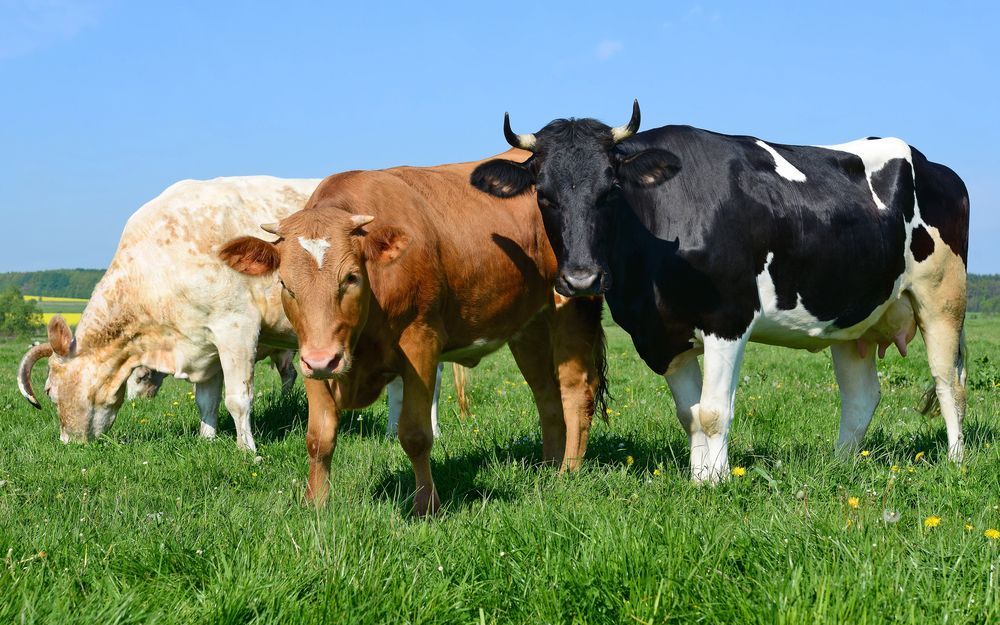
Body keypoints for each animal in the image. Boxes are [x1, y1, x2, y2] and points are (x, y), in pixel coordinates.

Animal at [219, 150, 607, 516]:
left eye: (351, 277)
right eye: (285, 284)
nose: (323, 360)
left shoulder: (420, 342)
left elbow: (416, 434)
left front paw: (426, 505)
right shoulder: (311, 353)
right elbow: (319, 436)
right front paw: (315, 504)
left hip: (572, 304)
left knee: (576, 391)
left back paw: (567, 473)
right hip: (529, 326)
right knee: (546, 394)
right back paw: (548, 467)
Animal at [471, 102, 969, 482]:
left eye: (610, 190)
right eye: (543, 194)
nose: (581, 279)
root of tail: (935, 165)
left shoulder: (728, 318)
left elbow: (713, 411)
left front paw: (718, 482)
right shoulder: (660, 335)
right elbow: (689, 414)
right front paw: (698, 480)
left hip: (943, 296)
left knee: (949, 383)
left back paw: (956, 461)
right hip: (852, 320)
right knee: (861, 397)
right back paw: (840, 466)